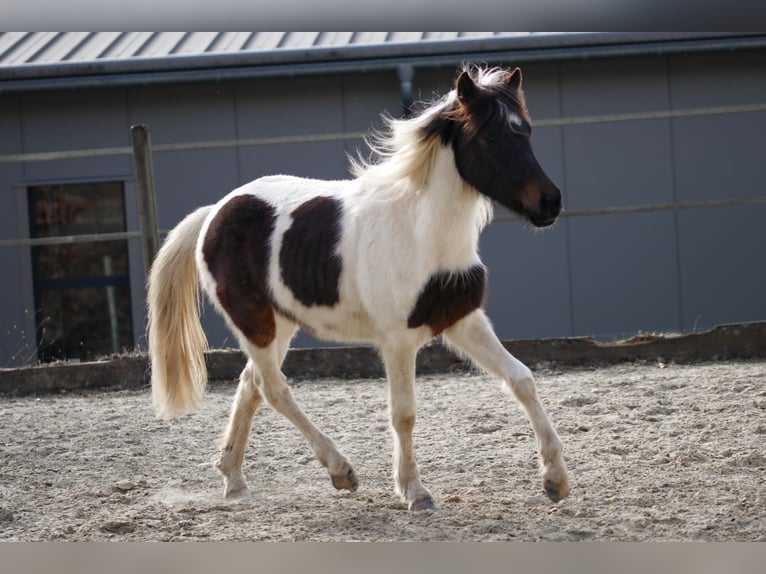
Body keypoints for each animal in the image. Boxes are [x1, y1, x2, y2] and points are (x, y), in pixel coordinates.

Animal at [147, 64, 569, 511]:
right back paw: (340, 471)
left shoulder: (463, 321)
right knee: (272, 387)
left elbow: (522, 378)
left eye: (526, 131)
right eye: (490, 137)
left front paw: (556, 480)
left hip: (280, 323)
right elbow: (403, 413)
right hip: (254, 321)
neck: (421, 233)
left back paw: (234, 480)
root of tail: (214, 213)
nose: (549, 202)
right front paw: (415, 492)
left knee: (250, 385)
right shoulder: (398, 340)